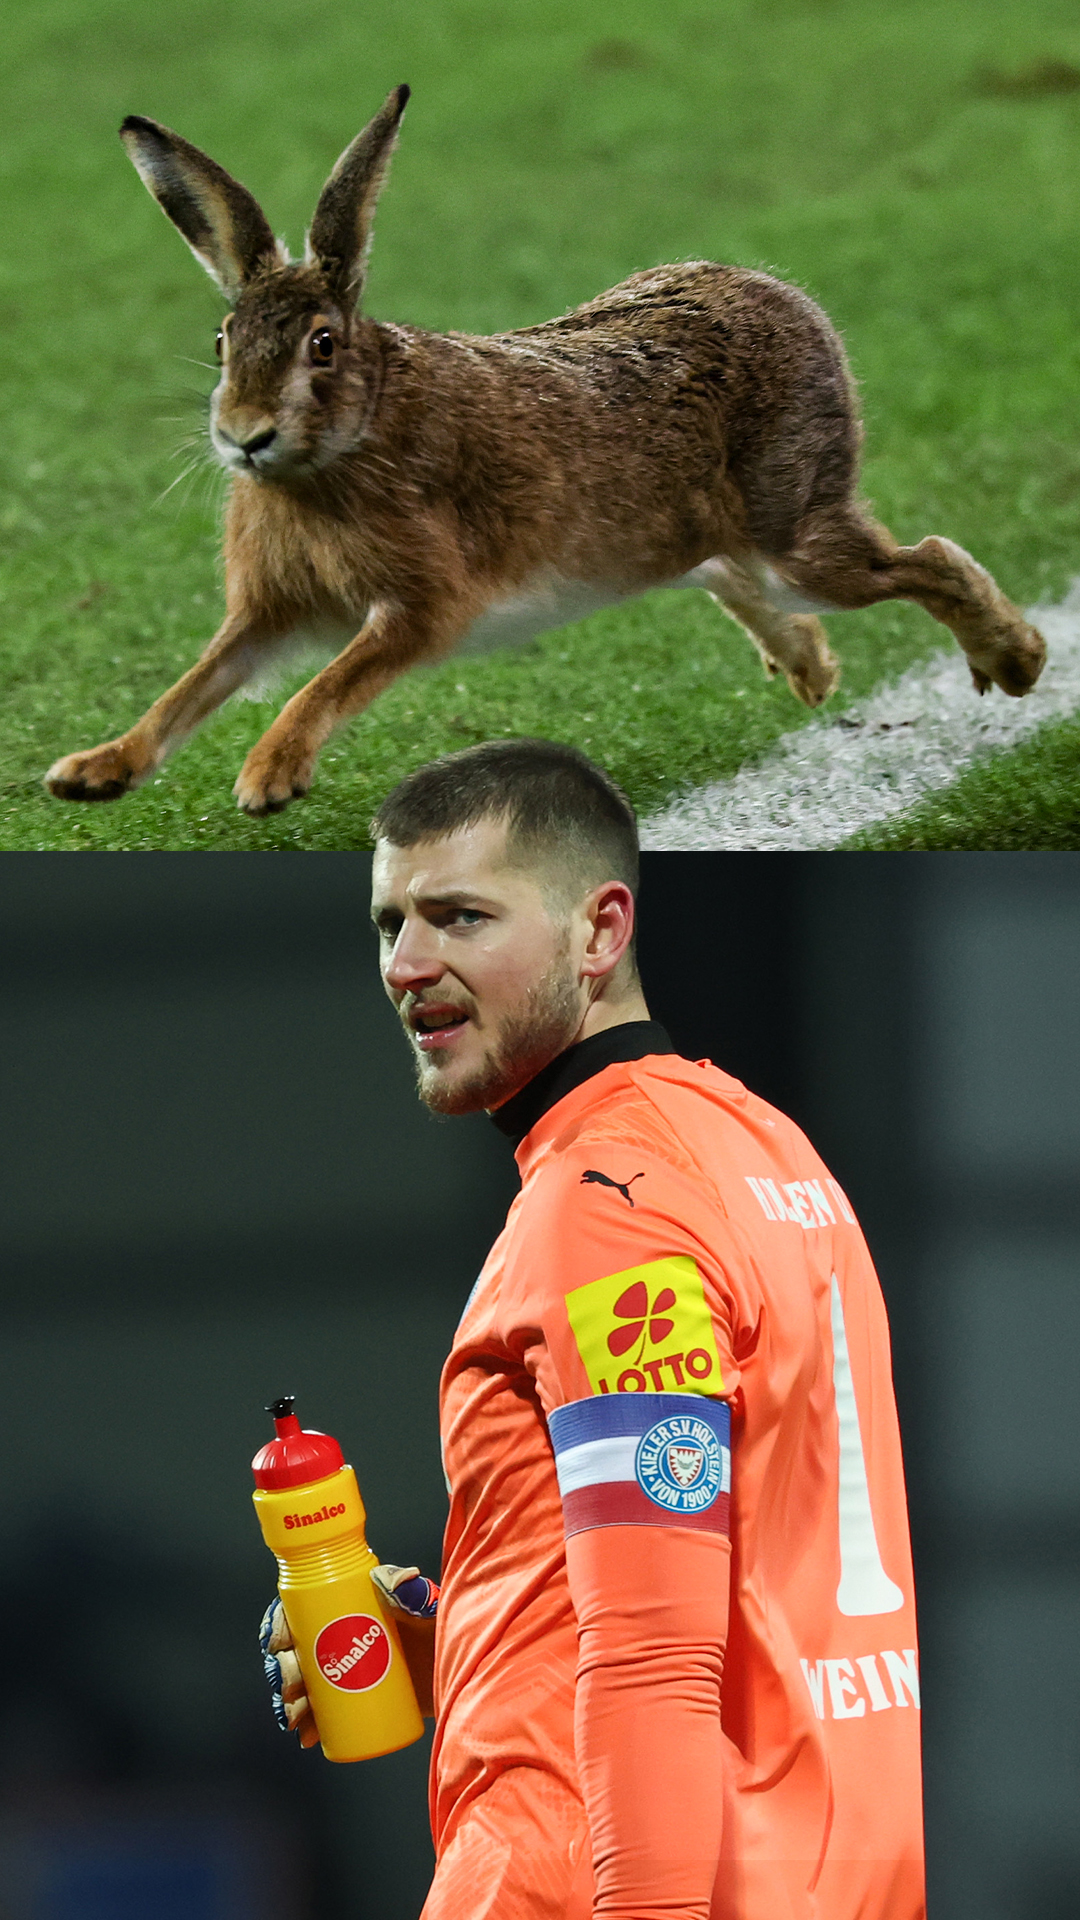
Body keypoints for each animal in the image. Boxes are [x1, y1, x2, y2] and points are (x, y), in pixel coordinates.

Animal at [45, 85, 1046, 816]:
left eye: (322, 345)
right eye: (222, 341)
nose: (244, 436)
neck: (347, 442)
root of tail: (783, 298)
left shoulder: (421, 606)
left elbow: (327, 683)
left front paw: (266, 777)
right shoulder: (269, 610)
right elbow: (192, 686)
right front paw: (96, 769)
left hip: (794, 525)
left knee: (924, 558)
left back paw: (1017, 660)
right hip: (688, 538)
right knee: (734, 574)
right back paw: (811, 669)